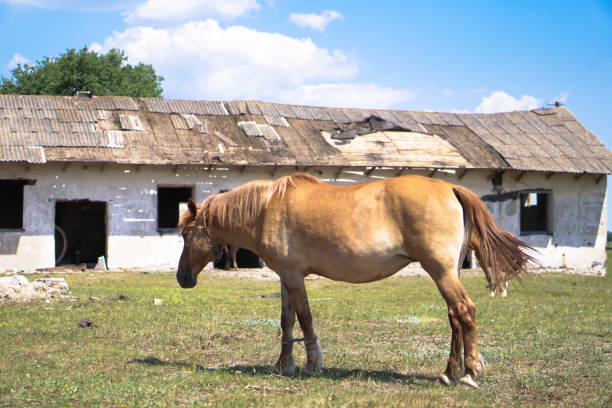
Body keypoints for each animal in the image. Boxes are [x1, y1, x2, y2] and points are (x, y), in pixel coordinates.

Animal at [176, 173, 536, 388]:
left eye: (185, 234)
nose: (182, 278)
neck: (265, 209)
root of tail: (450, 188)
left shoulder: (293, 276)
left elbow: (304, 319)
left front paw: (312, 364)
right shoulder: (285, 277)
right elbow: (286, 321)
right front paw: (284, 363)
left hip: (441, 271)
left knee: (464, 312)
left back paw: (471, 371)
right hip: (447, 273)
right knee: (454, 318)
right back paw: (450, 372)